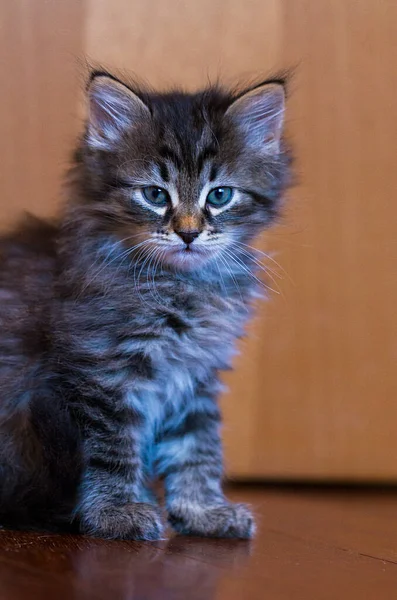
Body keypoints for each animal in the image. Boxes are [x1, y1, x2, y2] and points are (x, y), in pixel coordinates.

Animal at [0, 70, 290, 540]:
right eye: (155, 195)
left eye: (220, 195)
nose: (188, 233)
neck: (182, 288)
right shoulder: (101, 370)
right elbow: (113, 450)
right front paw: (115, 512)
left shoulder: (196, 374)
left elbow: (198, 446)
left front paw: (203, 510)